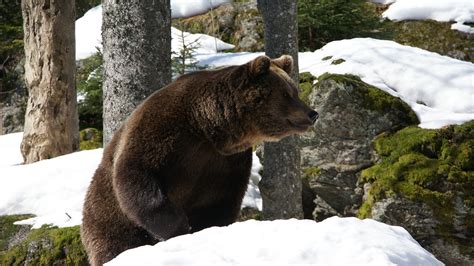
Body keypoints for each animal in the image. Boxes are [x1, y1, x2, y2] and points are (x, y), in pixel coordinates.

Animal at [80, 55, 318, 264]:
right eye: (286, 94)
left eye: (295, 91)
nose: (312, 113)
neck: (207, 127)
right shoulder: (162, 132)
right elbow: (136, 176)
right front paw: (179, 226)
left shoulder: (224, 162)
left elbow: (219, 202)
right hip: (106, 219)